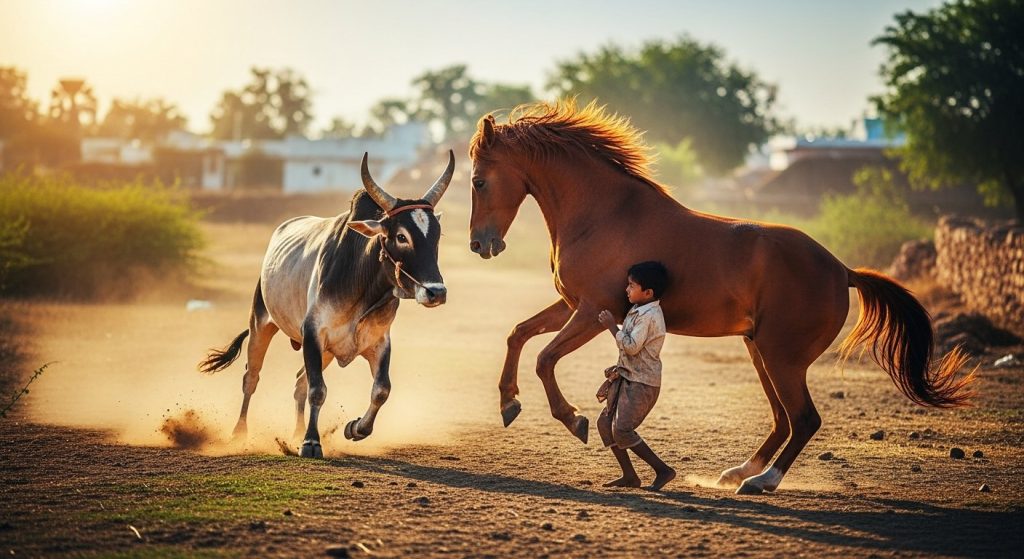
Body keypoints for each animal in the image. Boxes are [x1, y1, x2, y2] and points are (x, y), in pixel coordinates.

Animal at [199, 151, 454, 458]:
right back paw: (240, 433)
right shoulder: (313, 333)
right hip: (261, 324)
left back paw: (295, 433)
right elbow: (318, 391)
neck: (362, 286)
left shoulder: (379, 342)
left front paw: (355, 428)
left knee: (299, 382)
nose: (436, 292)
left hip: (325, 352)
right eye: (401, 236)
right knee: (252, 378)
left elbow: (381, 389)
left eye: (437, 236)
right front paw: (311, 442)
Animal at [466, 100, 973, 494]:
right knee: (783, 419)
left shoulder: (593, 312)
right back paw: (737, 473)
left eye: (477, 181)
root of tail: (841, 270)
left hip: (780, 357)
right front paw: (508, 403)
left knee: (803, 419)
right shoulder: (574, 307)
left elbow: (545, 359)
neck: (604, 214)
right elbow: (519, 334)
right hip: (760, 351)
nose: (479, 245)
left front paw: (573, 420)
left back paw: (761, 482)